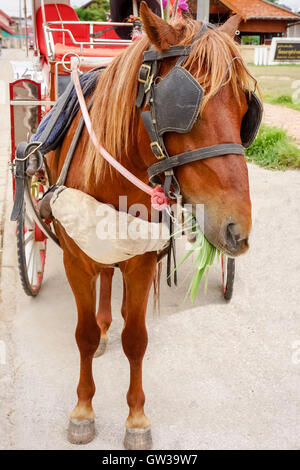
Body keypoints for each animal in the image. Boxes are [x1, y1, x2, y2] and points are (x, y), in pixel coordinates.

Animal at [47, 3, 253, 450]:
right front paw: (83, 410)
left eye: (246, 111)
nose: (237, 230)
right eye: (185, 107)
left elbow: (136, 339)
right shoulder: (76, 260)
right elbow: (83, 336)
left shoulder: (140, 261)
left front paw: (137, 418)